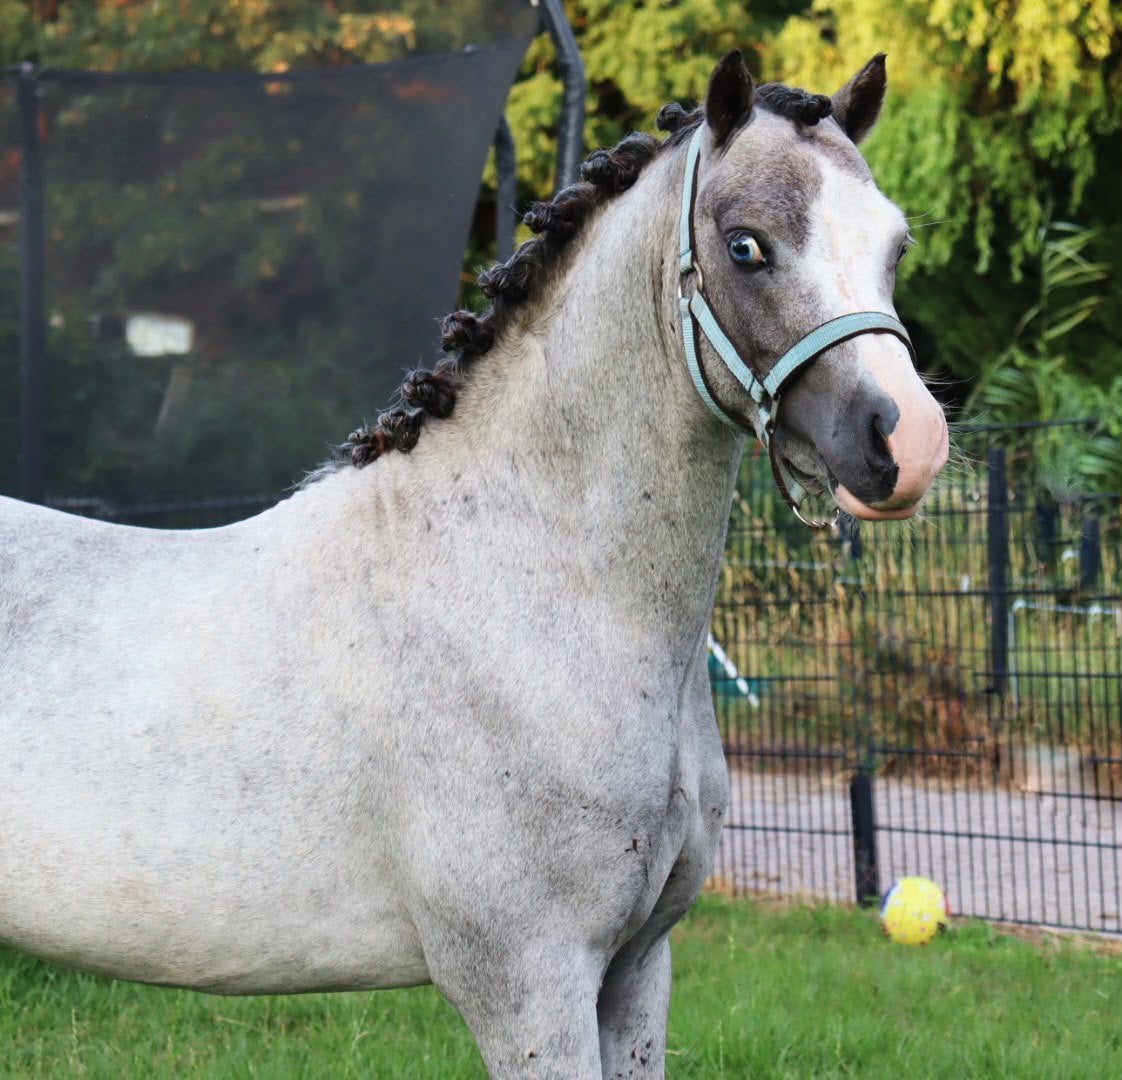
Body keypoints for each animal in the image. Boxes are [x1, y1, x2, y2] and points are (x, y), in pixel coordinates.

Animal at [0, 50, 947, 1078]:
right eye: (745, 247)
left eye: (896, 247)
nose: (907, 441)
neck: (535, 585)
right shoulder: (529, 984)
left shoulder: (637, 969)